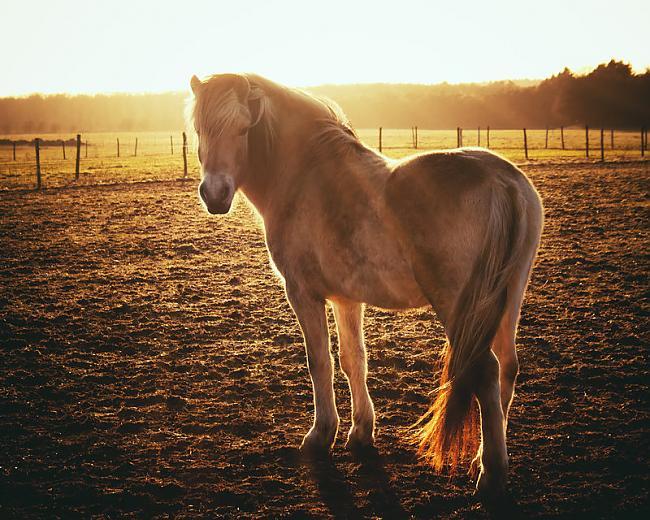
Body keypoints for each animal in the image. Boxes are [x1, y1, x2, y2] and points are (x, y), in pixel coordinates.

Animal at [187, 71, 540, 498]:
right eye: (200, 129)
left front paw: (320, 435)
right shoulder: (345, 299)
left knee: (486, 370)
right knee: (508, 366)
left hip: (460, 307)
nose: (215, 193)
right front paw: (360, 432)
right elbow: (354, 360)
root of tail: (504, 182)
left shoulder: (303, 293)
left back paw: (490, 472)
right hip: (506, 300)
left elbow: (319, 362)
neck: (305, 175)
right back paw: (481, 457)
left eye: (243, 129)